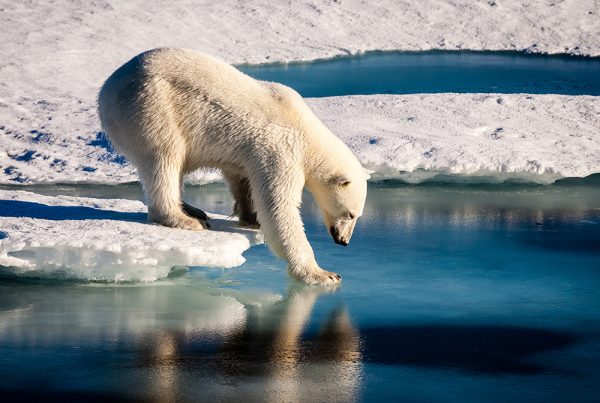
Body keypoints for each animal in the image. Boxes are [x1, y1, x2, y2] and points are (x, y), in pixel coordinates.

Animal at [98, 47, 366, 286]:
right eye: (350, 214)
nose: (344, 241)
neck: (306, 132)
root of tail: (106, 89)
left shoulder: (249, 152)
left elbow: (241, 178)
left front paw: (250, 217)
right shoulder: (281, 150)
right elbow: (279, 208)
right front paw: (323, 274)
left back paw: (193, 209)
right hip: (151, 107)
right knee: (164, 158)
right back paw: (184, 219)